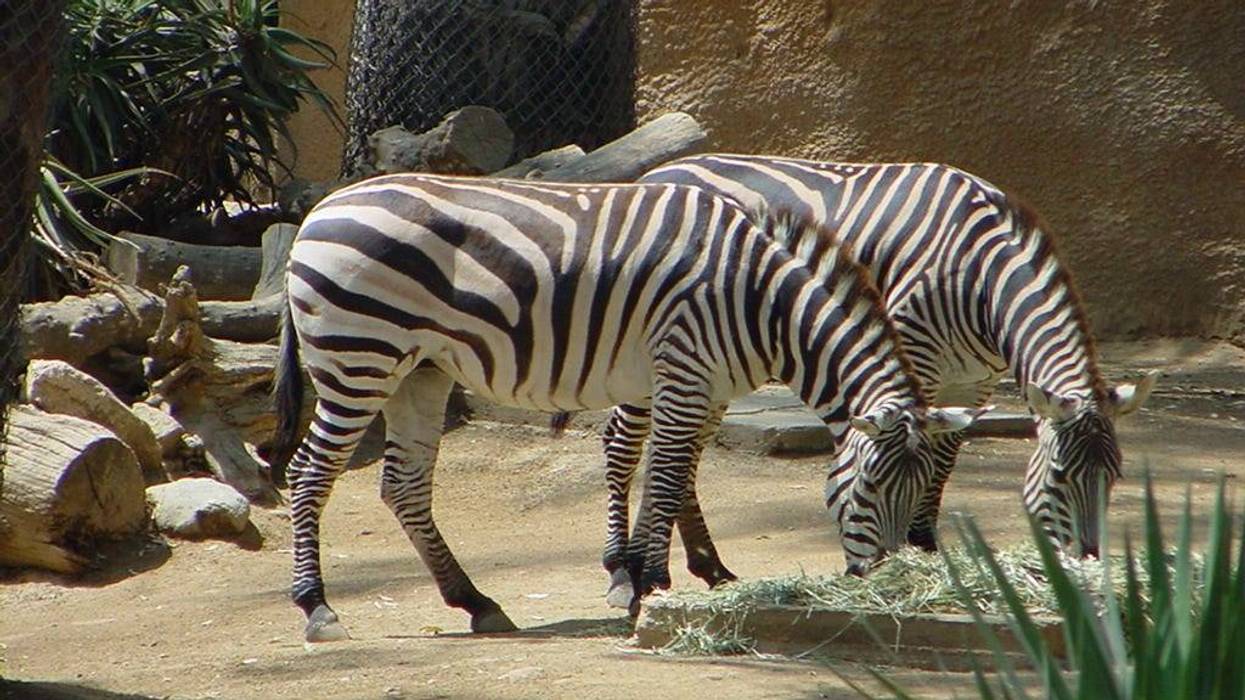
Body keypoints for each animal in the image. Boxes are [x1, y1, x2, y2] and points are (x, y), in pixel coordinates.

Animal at [267, 173, 981, 642]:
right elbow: (663, 479)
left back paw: (475, 602)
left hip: (420, 369)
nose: (885, 588)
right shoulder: (686, 369)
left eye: (921, 489)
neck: (764, 303)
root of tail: (320, 209)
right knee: (309, 474)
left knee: (403, 485)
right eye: (869, 487)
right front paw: (648, 585)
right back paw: (317, 609)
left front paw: (649, 577)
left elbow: (676, 475)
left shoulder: (704, 384)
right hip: (360, 354)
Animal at [635, 154, 1157, 569]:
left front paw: (924, 543)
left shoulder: (975, 380)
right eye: (1059, 477)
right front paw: (908, 540)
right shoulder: (915, 355)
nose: (1089, 559)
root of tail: (659, 170)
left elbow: (944, 459)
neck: (980, 278)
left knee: (684, 445)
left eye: (1115, 477)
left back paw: (707, 564)